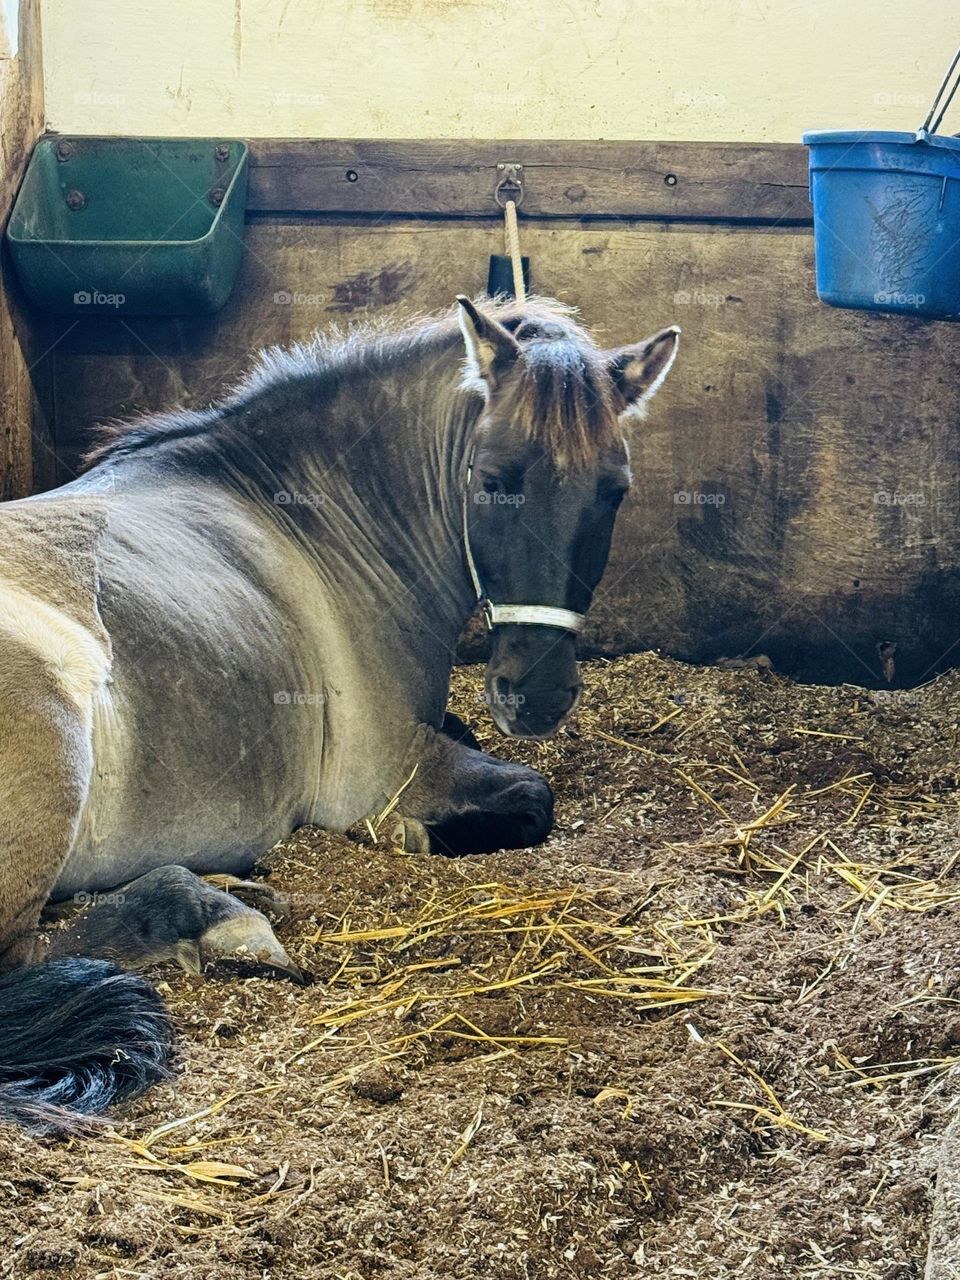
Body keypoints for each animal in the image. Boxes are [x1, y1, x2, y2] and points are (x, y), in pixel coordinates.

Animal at [0, 296, 686, 1131]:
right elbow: (532, 795)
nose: (538, 693)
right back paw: (216, 914)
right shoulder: (387, 770)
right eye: (493, 479)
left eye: (613, 490)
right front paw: (418, 835)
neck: (313, 522)